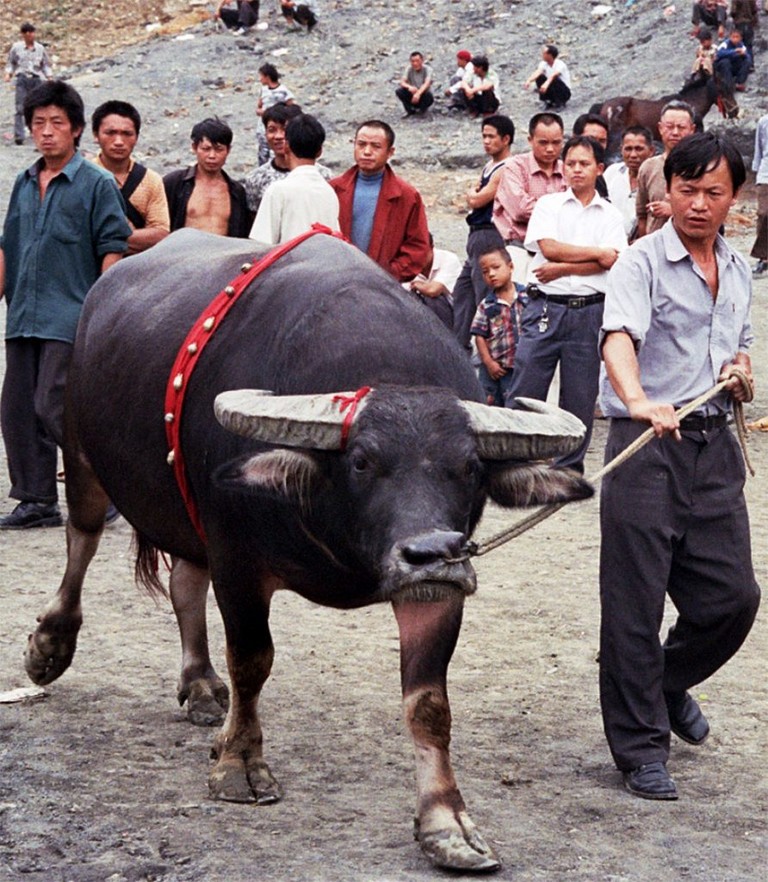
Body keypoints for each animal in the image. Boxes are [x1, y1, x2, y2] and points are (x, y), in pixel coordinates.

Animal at [24, 229, 588, 872]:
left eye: (470, 467)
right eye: (362, 461)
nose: (434, 552)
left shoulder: (436, 593)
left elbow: (428, 705)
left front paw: (446, 822)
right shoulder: (238, 560)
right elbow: (253, 662)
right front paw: (240, 764)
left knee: (183, 583)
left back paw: (200, 685)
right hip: (82, 454)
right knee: (82, 542)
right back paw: (49, 646)